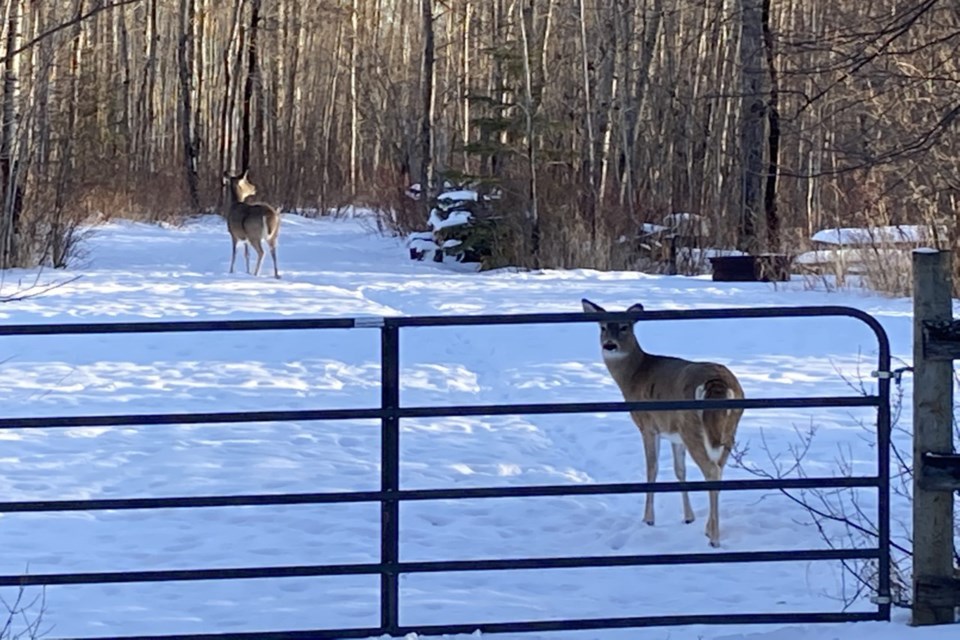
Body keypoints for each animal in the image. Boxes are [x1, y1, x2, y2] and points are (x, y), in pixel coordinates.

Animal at [580, 298, 748, 544]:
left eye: (624, 326)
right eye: (602, 327)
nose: (609, 345)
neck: (634, 376)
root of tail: (717, 383)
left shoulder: (649, 425)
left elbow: (652, 469)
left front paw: (648, 519)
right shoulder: (674, 434)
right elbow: (680, 470)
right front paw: (688, 517)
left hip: (692, 427)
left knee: (712, 471)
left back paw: (714, 539)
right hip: (728, 427)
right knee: (719, 469)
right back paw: (710, 529)